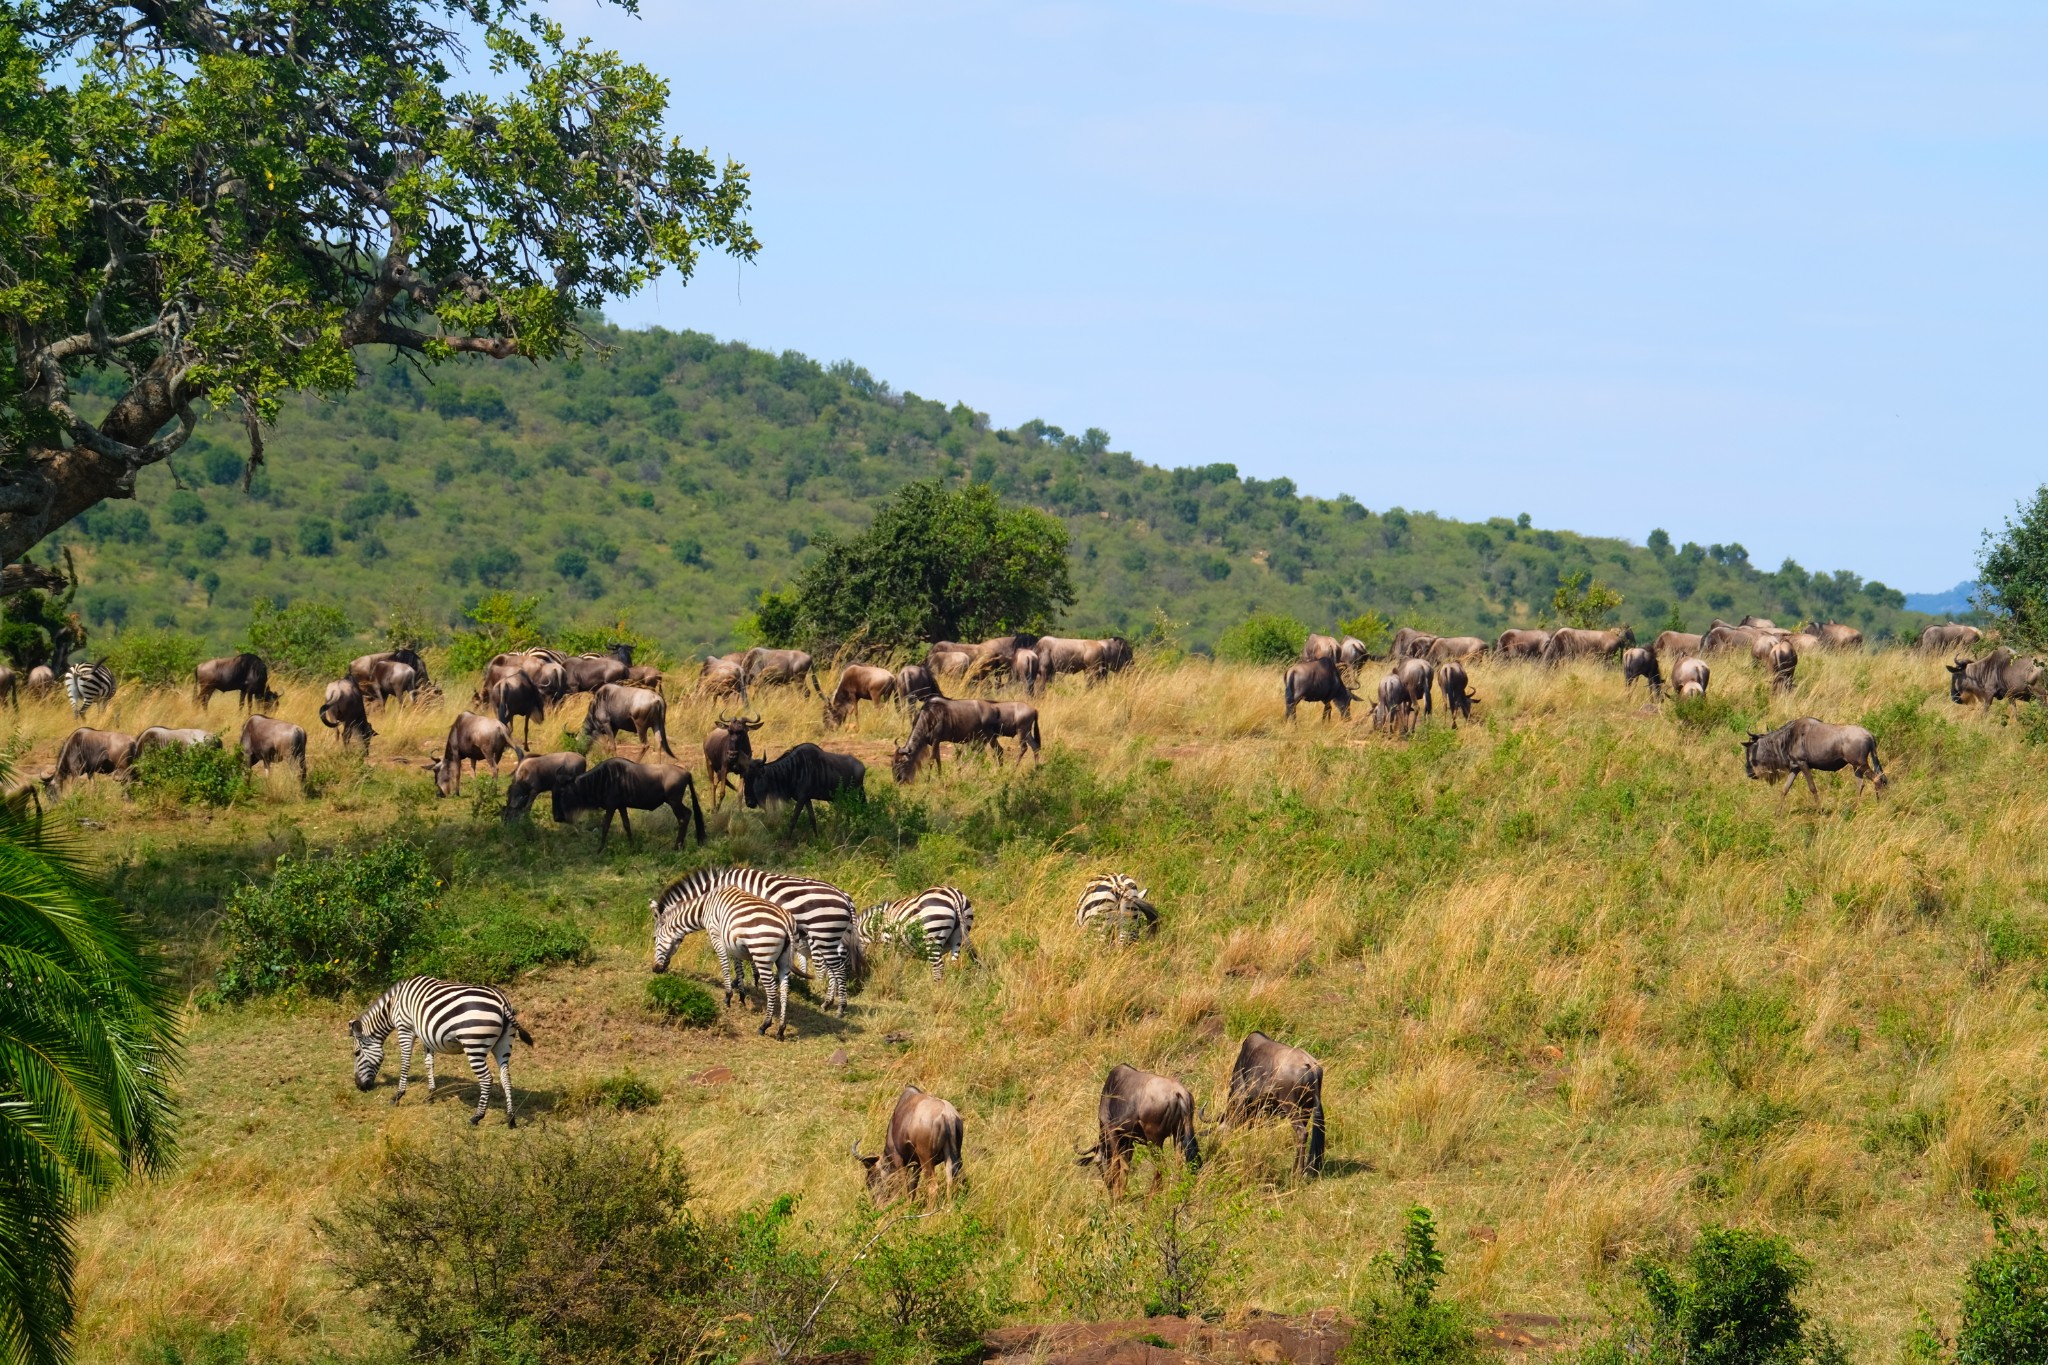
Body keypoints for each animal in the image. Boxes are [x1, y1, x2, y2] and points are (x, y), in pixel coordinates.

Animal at [350, 978, 536, 1129]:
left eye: (357, 1053)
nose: (359, 1086)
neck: (393, 1005)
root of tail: (501, 1001)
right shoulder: (425, 1034)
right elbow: (429, 1063)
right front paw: (430, 1095)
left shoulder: (405, 1028)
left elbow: (405, 1064)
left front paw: (398, 1096)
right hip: (503, 1045)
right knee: (506, 1078)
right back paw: (511, 1119)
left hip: (474, 1044)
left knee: (487, 1079)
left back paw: (476, 1117)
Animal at [651, 879, 794, 1039]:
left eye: (654, 938)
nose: (655, 969)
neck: (704, 907)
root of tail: (787, 923)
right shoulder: (733, 943)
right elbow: (738, 969)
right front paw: (742, 996)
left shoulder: (716, 936)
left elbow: (725, 965)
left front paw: (728, 997)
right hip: (784, 961)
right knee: (784, 989)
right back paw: (781, 1029)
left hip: (762, 955)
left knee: (771, 989)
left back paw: (765, 1025)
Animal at [655, 863, 864, 1015]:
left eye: (654, 937)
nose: (657, 970)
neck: (715, 889)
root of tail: (846, 898)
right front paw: (752, 980)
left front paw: (741, 984)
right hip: (833, 938)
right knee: (835, 968)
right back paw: (828, 1003)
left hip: (824, 933)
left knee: (838, 969)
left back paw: (839, 1007)